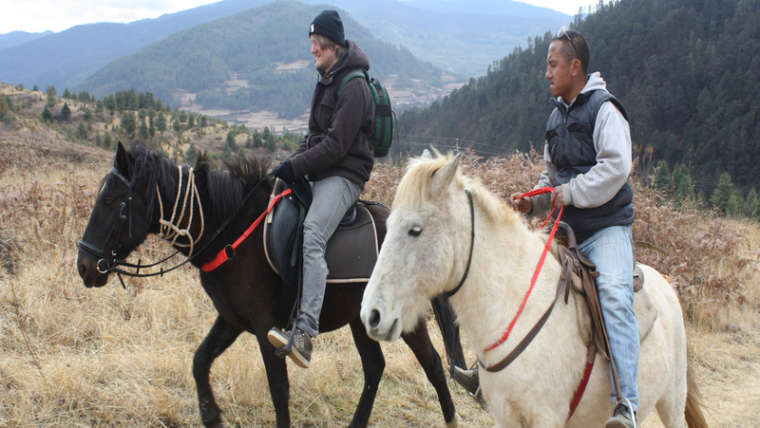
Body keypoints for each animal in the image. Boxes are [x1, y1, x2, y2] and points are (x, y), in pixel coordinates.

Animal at [80, 145, 466, 428]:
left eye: (114, 203)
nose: (84, 266)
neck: (230, 232)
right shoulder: (232, 319)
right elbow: (200, 361)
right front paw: (211, 415)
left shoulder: (267, 327)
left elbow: (278, 390)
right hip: (362, 318)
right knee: (375, 368)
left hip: (404, 318)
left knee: (432, 364)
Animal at [360, 152, 708, 426]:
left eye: (415, 230)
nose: (371, 315)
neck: (516, 307)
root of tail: (666, 285)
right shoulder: (505, 415)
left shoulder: (545, 417)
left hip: (672, 401)